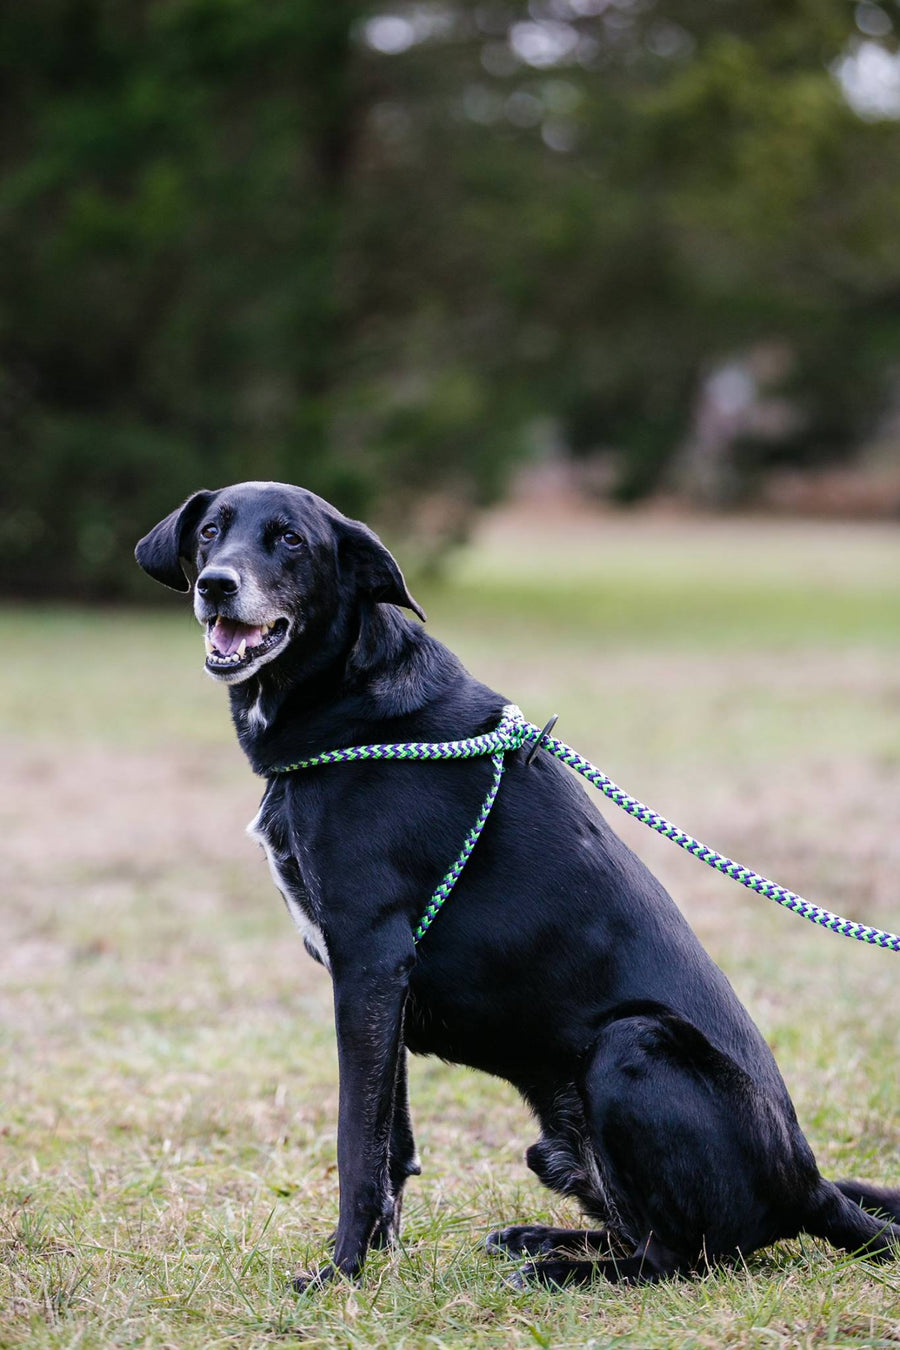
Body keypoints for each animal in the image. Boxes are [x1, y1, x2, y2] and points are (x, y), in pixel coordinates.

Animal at [135, 483, 900, 1285]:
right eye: (211, 530)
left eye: (291, 540)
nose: (215, 584)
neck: (350, 702)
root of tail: (809, 1185)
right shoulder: (384, 987)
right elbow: (390, 1142)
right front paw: (378, 1261)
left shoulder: (369, 963)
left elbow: (355, 1145)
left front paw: (340, 1274)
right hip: (558, 1142)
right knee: (637, 1231)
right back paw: (539, 1239)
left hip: (632, 1042)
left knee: (676, 1257)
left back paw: (560, 1272)